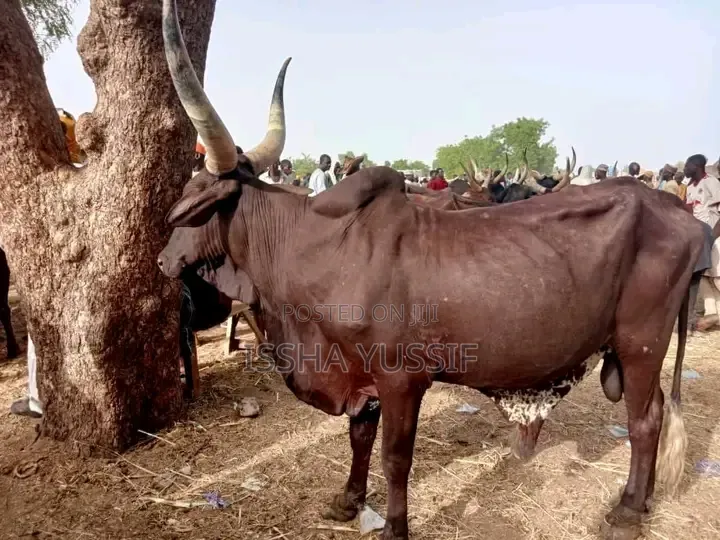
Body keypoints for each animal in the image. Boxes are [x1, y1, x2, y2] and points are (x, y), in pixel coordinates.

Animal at [158, 2, 703, 538]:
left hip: (640, 344)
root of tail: (684, 216)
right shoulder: (362, 380)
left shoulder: (402, 379)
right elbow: (359, 438)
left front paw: (394, 527)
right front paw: (348, 501)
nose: (163, 260)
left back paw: (627, 511)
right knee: (654, 411)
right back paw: (642, 500)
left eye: (193, 201)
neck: (317, 248)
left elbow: (395, 459)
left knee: (645, 420)